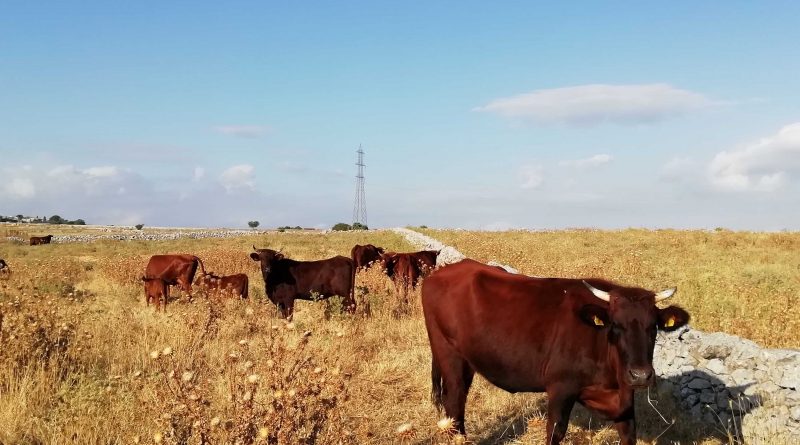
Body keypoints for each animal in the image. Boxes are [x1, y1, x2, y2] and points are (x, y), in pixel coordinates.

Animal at [422, 258, 692, 442]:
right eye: (616, 325)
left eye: (653, 326)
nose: (640, 375)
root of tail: (446, 270)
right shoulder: (560, 389)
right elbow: (555, 433)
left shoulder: (623, 400)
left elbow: (629, 434)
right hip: (449, 354)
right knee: (454, 401)